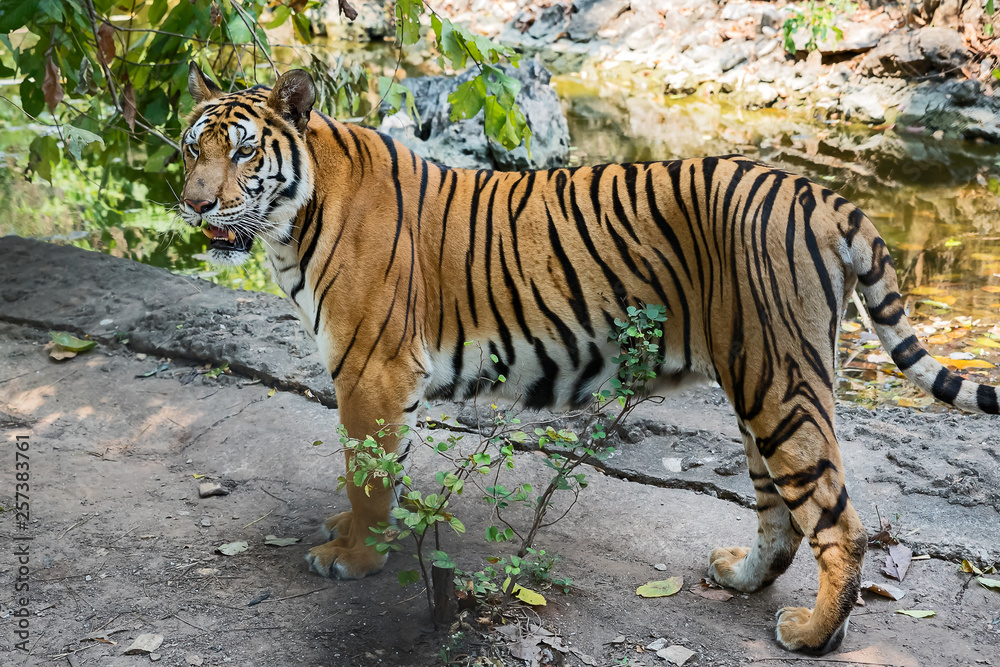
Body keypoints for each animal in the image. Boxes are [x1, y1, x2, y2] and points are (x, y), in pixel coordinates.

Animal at [178, 63, 1000, 655]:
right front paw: (356, 535)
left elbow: (367, 474)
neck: (293, 220)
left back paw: (811, 635)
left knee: (835, 520)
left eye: (244, 150)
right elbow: (374, 473)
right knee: (781, 510)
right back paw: (739, 578)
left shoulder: (371, 371)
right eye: (193, 147)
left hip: (780, 380)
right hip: (760, 378)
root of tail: (821, 192)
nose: (193, 204)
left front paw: (353, 556)